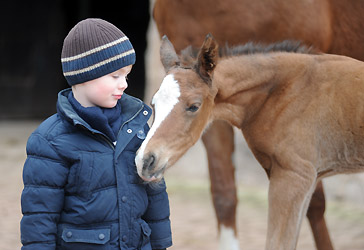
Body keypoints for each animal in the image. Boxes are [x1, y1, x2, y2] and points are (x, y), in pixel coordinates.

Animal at [151, 0, 364, 249]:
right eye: (152, 104)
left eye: (194, 106)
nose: (145, 160)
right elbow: (224, 194)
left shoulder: (295, 173)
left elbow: (308, 213)